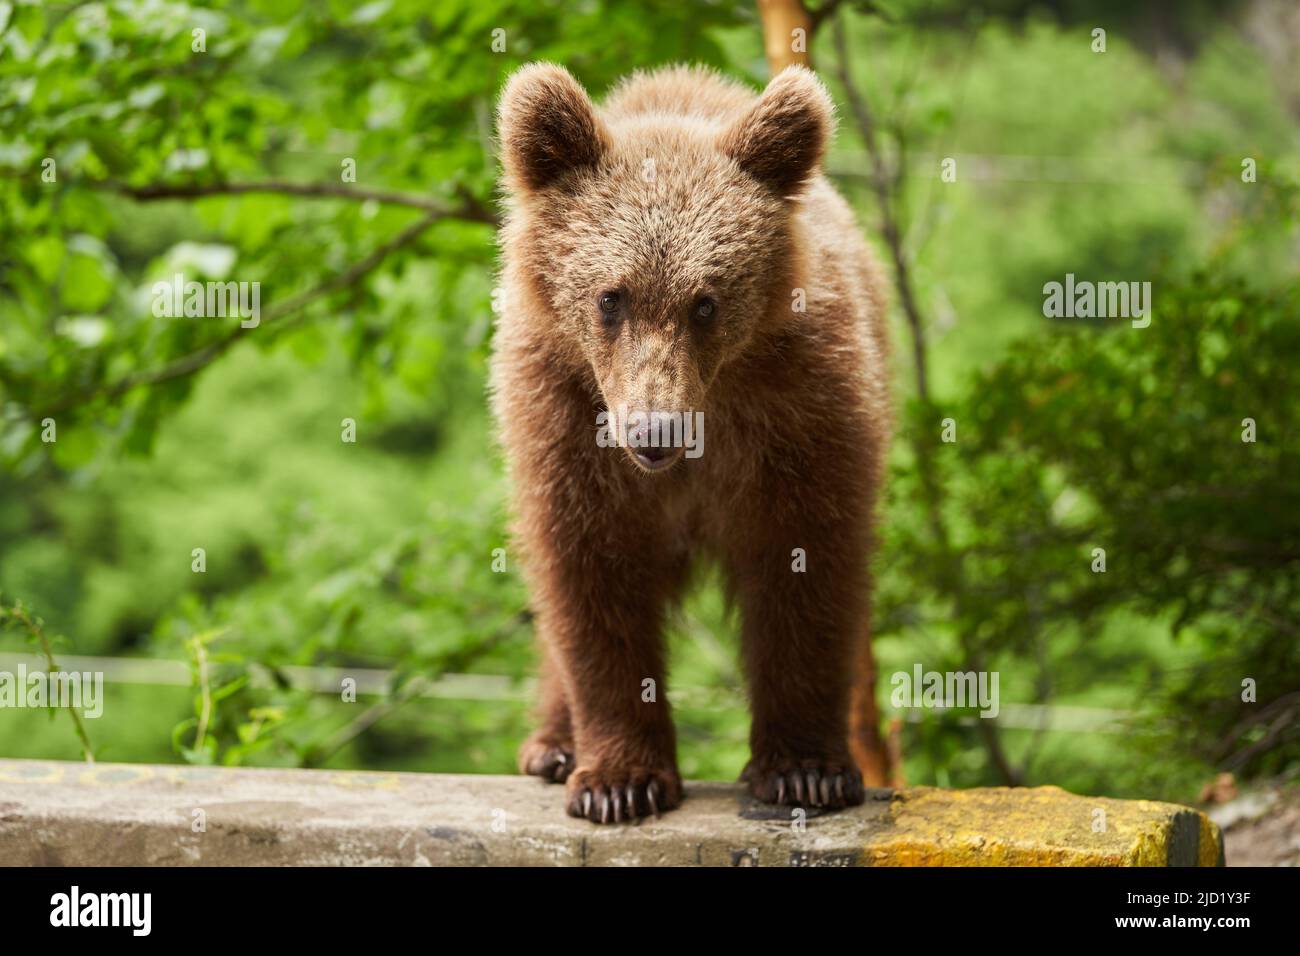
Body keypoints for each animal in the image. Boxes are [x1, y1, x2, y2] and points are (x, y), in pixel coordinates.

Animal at [491, 62, 892, 824]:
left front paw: (806, 770)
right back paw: (552, 746)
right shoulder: (566, 420)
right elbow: (590, 578)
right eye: (610, 297)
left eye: (705, 303)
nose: (656, 432)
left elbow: (804, 568)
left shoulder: (799, 414)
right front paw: (619, 781)